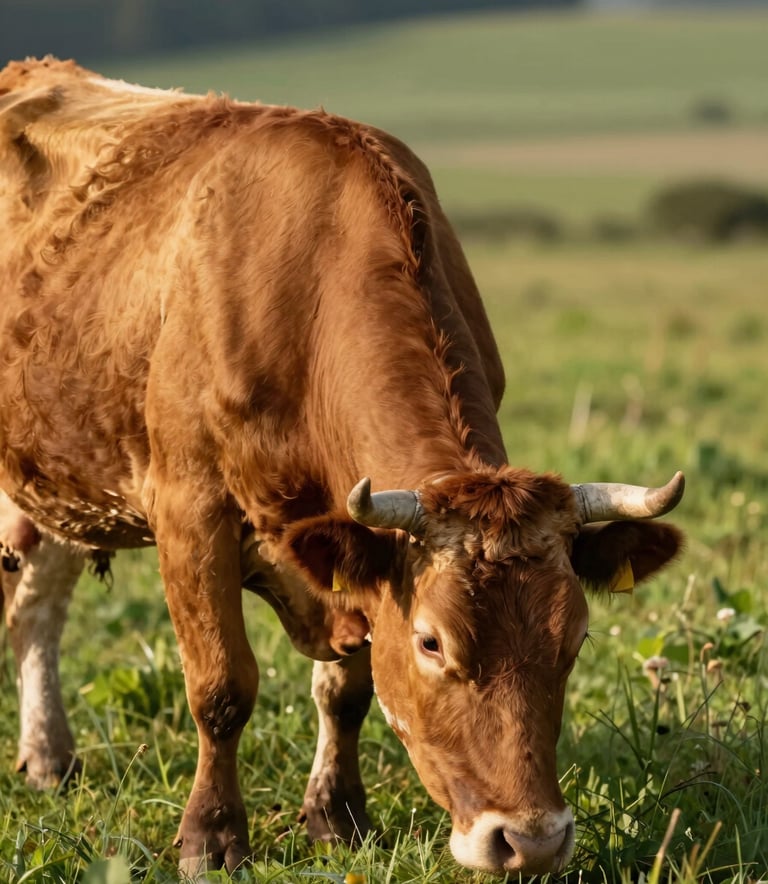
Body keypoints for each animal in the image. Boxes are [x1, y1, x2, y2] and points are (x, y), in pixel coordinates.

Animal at [0, 57, 685, 877]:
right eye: (431, 641)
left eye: (575, 638)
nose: (531, 841)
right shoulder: (190, 508)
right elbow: (221, 688)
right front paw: (212, 838)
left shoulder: (353, 556)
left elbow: (345, 693)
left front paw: (339, 815)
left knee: (38, 602)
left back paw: (48, 759)